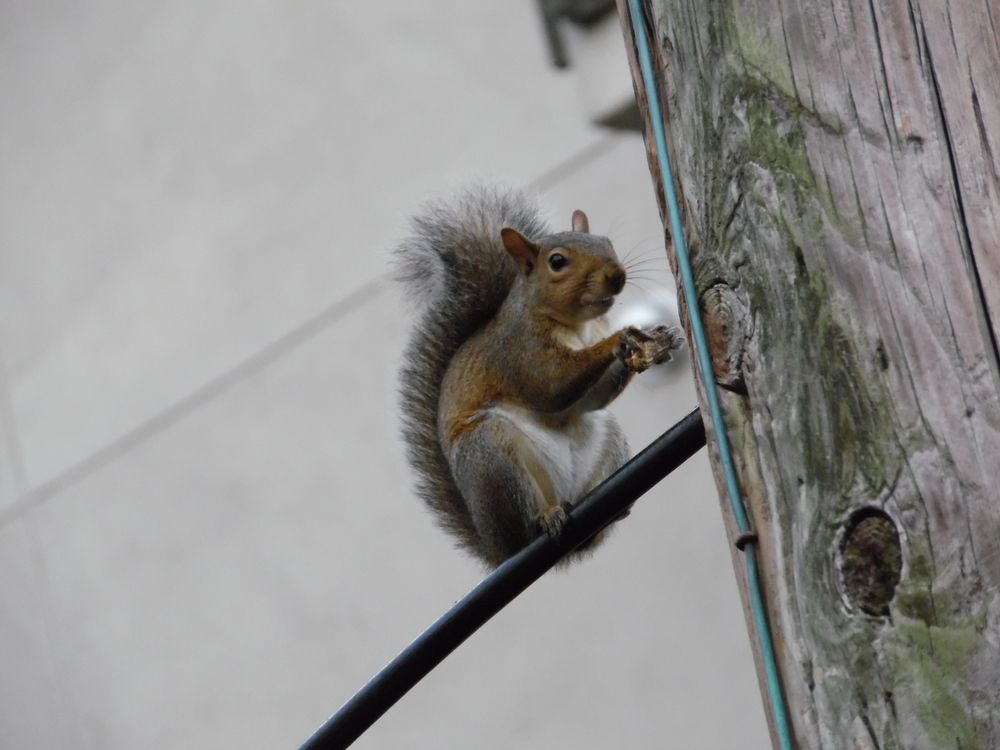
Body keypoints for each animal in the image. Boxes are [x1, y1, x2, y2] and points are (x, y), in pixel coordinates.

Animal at [395, 186, 683, 569]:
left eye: (605, 241)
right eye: (557, 262)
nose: (617, 275)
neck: (576, 327)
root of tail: (499, 549)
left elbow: (593, 398)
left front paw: (664, 338)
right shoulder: (519, 351)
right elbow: (551, 386)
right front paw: (618, 340)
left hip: (606, 440)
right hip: (492, 459)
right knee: (526, 524)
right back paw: (545, 518)